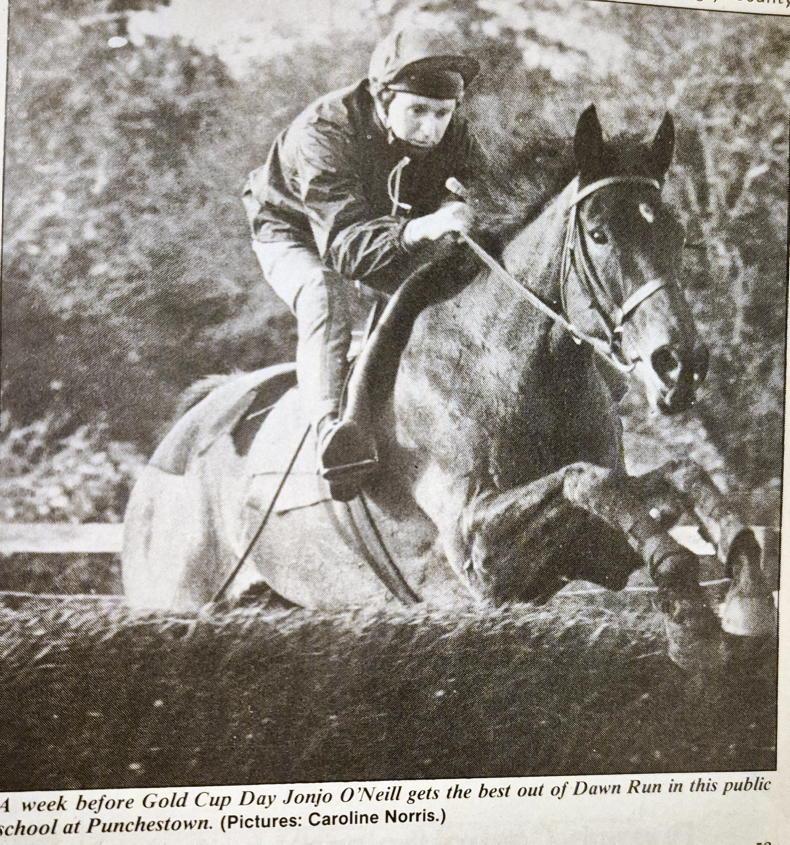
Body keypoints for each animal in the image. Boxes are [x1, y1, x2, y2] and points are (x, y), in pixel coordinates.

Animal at [122, 106, 776, 672]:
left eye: (676, 234)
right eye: (598, 234)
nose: (681, 365)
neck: (513, 368)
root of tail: (175, 442)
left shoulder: (587, 552)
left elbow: (674, 475)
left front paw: (744, 590)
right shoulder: (475, 552)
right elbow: (587, 481)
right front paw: (689, 605)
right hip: (177, 598)